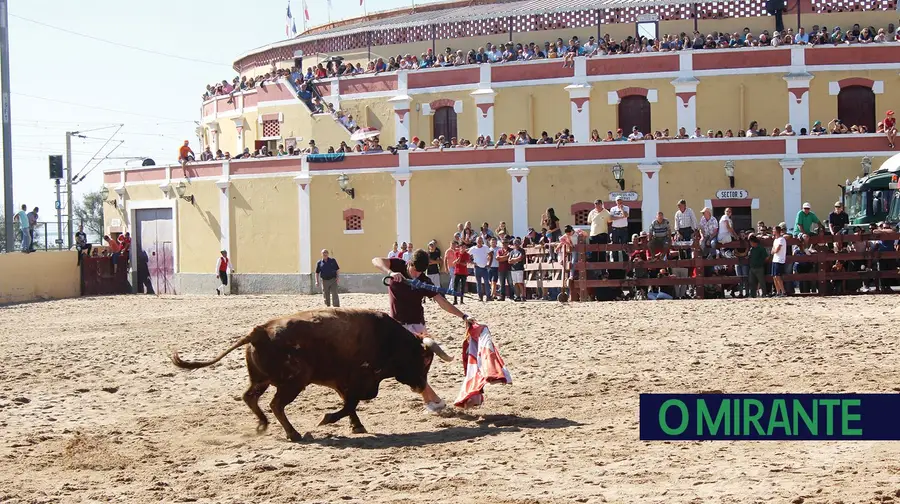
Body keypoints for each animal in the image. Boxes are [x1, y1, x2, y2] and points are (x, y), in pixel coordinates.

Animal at [171, 308, 450, 440]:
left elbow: (349, 404)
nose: (420, 386)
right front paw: (328, 419)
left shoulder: (342, 381)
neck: (388, 339)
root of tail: (259, 332)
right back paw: (293, 433)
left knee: (250, 397)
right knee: (276, 404)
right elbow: (351, 403)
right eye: (425, 361)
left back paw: (263, 424)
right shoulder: (360, 379)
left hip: (262, 380)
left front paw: (356, 425)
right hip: (294, 382)